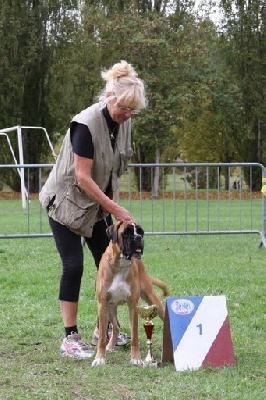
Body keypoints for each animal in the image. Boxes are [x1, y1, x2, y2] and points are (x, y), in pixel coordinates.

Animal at [92, 220, 168, 368]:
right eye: (126, 233)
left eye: (141, 232)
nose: (138, 238)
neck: (120, 264)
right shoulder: (102, 305)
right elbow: (102, 337)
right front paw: (100, 358)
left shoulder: (133, 306)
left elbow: (135, 336)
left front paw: (136, 358)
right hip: (110, 308)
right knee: (116, 327)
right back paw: (111, 345)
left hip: (153, 299)